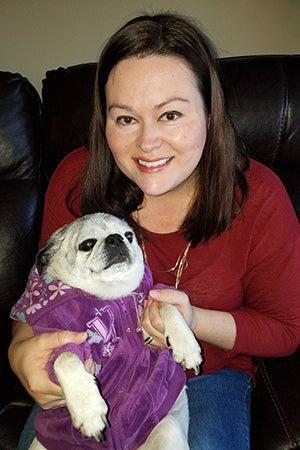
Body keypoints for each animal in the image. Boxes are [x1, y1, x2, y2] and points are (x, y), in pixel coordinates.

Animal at [10, 213, 202, 448]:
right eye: (87, 245)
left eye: (129, 236)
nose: (116, 239)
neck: (113, 295)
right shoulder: (61, 340)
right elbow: (65, 357)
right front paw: (87, 407)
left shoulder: (150, 301)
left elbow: (166, 303)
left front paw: (186, 345)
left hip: (168, 433)